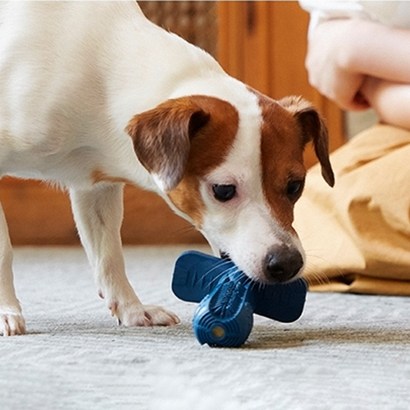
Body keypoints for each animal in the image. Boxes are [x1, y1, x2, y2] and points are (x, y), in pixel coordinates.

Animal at [0, 1, 334, 334]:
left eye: (295, 186)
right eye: (223, 190)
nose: (287, 263)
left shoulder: (95, 185)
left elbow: (109, 255)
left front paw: (132, 310)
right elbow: (4, 251)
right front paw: (6, 311)